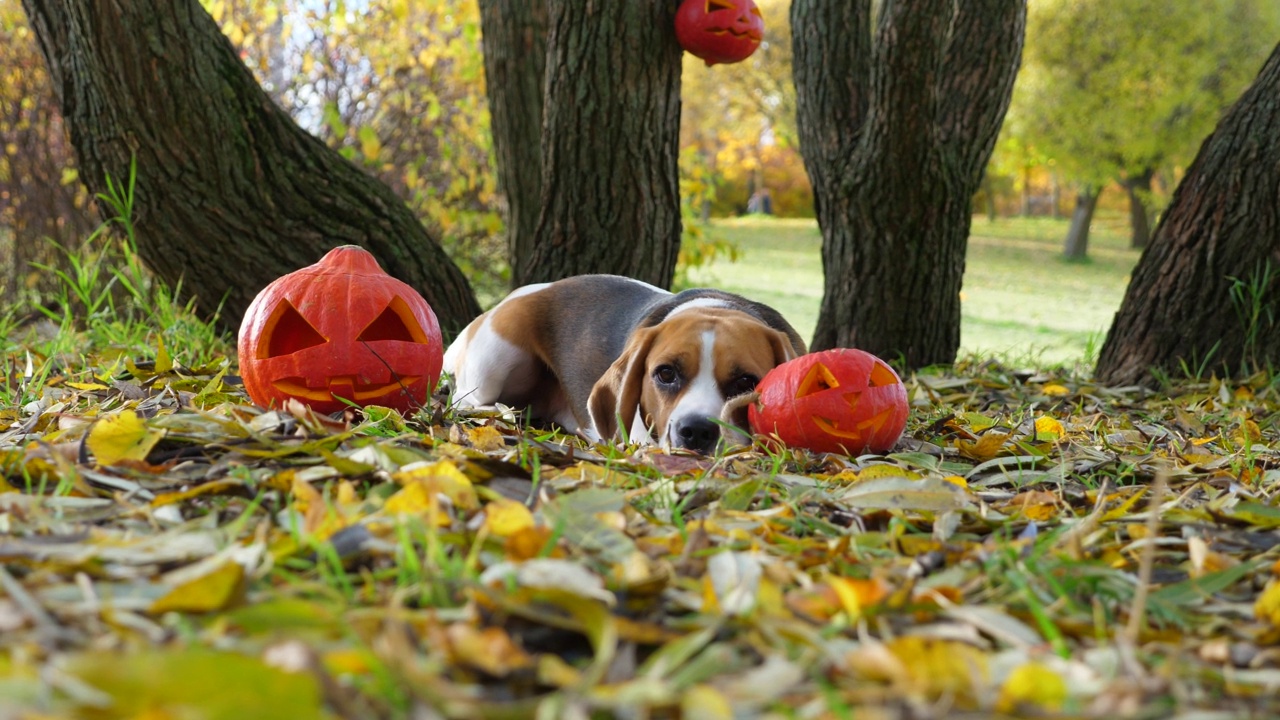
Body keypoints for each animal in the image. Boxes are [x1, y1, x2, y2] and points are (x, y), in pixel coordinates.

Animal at [445, 271, 803, 450]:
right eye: (665, 374)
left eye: (746, 382)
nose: (696, 432)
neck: (715, 305)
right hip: (497, 353)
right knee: (464, 398)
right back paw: (502, 410)